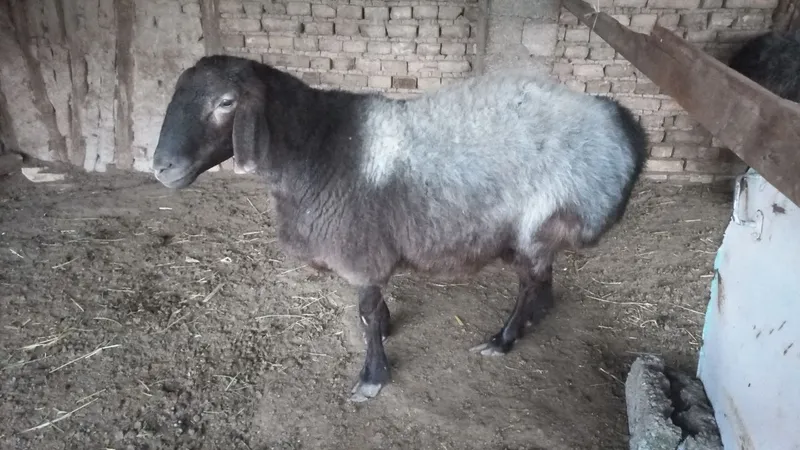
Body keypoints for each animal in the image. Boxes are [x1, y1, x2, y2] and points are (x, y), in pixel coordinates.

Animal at [151, 55, 648, 402]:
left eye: (226, 103)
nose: (162, 167)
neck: (317, 149)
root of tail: (621, 120)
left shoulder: (360, 250)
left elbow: (368, 314)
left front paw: (373, 376)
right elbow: (369, 311)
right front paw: (387, 329)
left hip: (541, 221)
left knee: (530, 284)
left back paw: (503, 339)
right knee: (543, 282)